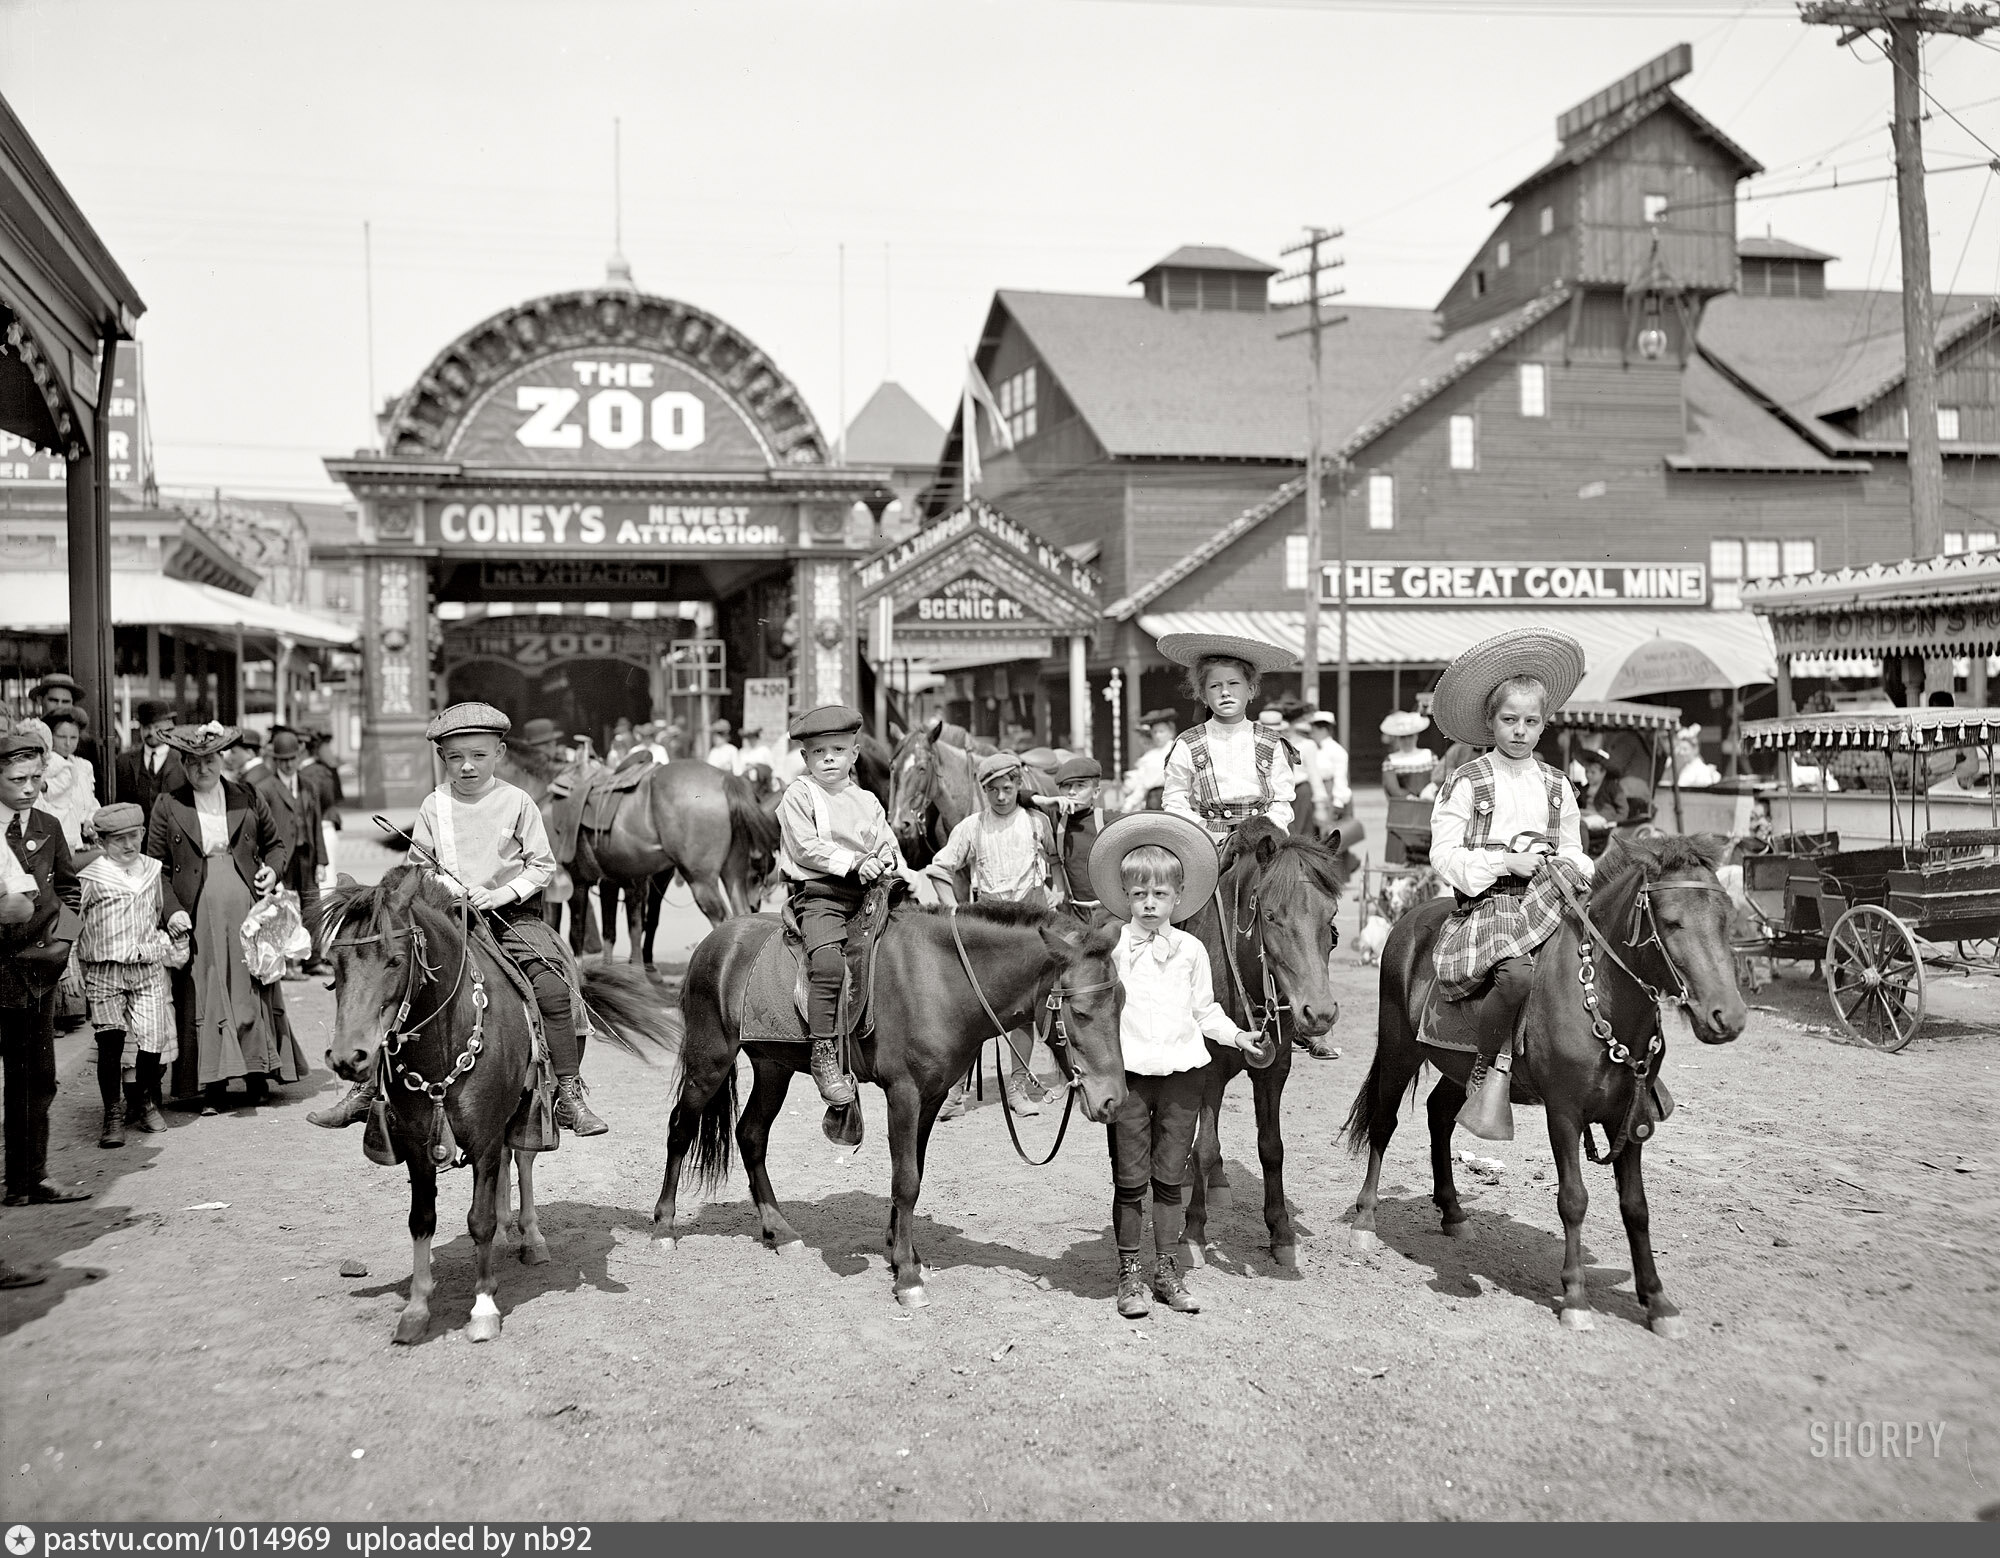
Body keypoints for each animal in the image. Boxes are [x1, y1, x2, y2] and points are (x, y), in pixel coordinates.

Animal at [320, 872, 680, 1344]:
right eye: (334, 966)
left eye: (395, 961)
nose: (349, 1057)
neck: (446, 1038)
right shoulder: (417, 1144)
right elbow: (422, 1218)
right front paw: (417, 1308)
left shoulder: (486, 1135)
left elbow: (480, 1220)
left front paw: (484, 1307)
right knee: (510, 1163)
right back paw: (512, 1230)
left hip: (531, 1104)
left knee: (522, 1158)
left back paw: (530, 1236)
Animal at [652, 896, 1128, 1312]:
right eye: (1081, 1012)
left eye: (1121, 1004)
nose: (1113, 1100)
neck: (942, 978)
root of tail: (715, 942)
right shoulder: (903, 1093)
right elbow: (906, 1181)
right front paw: (907, 1278)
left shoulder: (932, 1097)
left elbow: (915, 1171)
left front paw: (907, 1255)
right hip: (709, 1062)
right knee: (679, 1129)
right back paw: (664, 1226)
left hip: (773, 1068)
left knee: (751, 1135)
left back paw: (780, 1232)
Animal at [1176, 824, 1352, 1272]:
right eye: (1270, 915)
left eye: (1331, 917)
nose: (1319, 1012)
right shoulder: (1208, 1072)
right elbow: (1205, 1147)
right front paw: (1193, 1234)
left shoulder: (1274, 1069)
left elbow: (1272, 1149)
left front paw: (1281, 1233)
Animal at [1344, 836, 1752, 1336]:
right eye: (1672, 921)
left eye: (1725, 918)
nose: (1726, 1017)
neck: (1600, 997)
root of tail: (1409, 920)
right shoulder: (1564, 1114)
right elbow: (1573, 1199)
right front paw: (1575, 1296)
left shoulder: (1627, 1118)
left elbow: (1636, 1207)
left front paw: (1657, 1301)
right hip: (1399, 1048)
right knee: (1384, 1122)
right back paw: (1365, 1220)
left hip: (1462, 1068)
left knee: (1440, 1115)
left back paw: (1453, 1212)